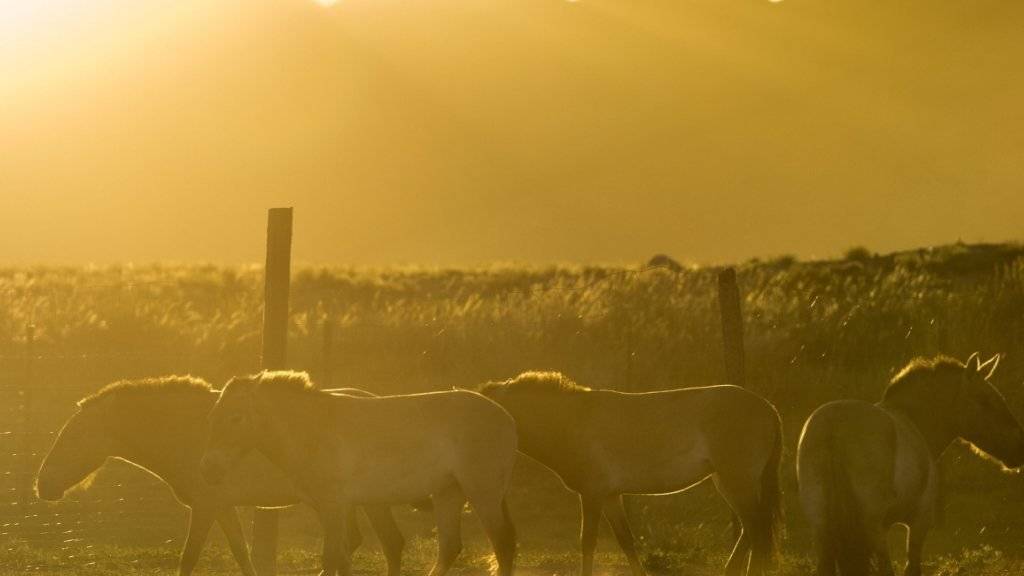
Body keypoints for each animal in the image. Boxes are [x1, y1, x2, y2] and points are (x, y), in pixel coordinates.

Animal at [37, 377, 409, 573]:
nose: (42, 484)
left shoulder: (205, 507)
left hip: (368, 502)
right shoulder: (223, 507)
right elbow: (241, 553)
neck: (188, 433)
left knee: (389, 543)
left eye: (74, 437)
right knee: (348, 544)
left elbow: (188, 559)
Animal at [199, 366, 520, 573]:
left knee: (502, 545)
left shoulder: (334, 506)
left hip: (482, 492)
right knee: (450, 548)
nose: (209, 469)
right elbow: (340, 559)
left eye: (236, 418)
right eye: (212, 416)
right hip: (448, 493)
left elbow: (331, 559)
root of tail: (504, 416)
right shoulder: (327, 508)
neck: (313, 430)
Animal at [479, 368, 782, 573]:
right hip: (728, 482)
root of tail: (767, 407)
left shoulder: (592, 495)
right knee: (750, 531)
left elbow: (587, 542)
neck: (571, 421)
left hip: (737, 481)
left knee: (756, 531)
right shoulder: (611, 496)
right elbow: (627, 541)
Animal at [798, 352, 1024, 569]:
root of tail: (832, 429)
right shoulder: (919, 522)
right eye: (985, 400)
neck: (914, 421)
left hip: (821, 528)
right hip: (874, 530)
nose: (1019, 447)